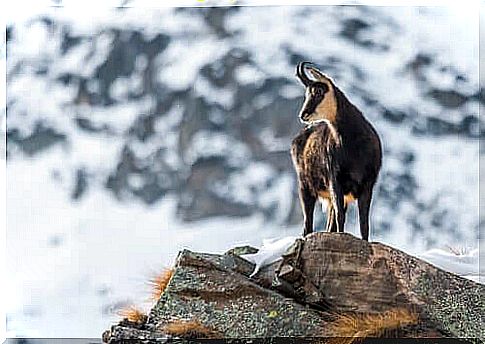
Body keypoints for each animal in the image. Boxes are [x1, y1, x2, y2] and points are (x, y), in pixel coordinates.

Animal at [292, 61, 382, 239]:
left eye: (319, 91)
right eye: (307, 94)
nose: (303, 114)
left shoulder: (367, 184)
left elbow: (364, 223)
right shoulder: (335, 180)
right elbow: (341, 217)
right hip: (305, 186)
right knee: (307, 224)